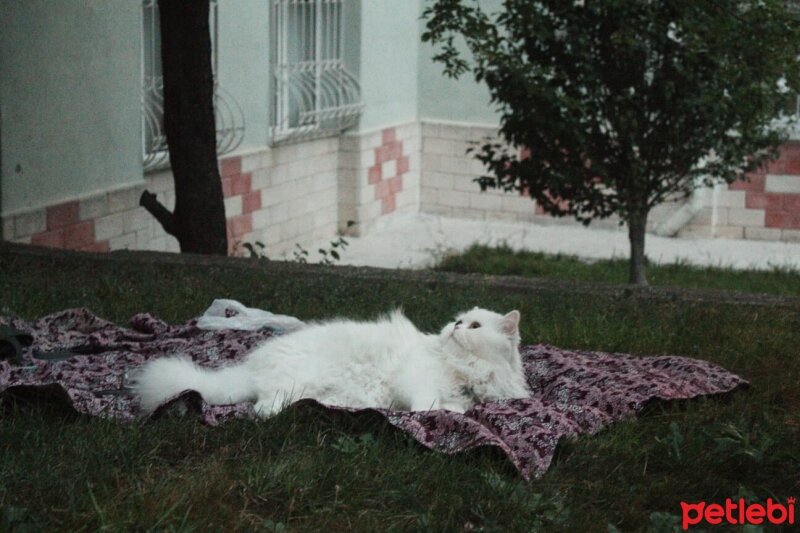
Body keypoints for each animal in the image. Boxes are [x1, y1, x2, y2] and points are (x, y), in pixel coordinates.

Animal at [134, 308, 528, 416]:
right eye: (460, 320)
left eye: (474, 326)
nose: (457, 326)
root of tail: (249, 368)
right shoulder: (418, 380)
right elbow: (428, 404)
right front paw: (437, 412)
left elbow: (456, 408)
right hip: (295, 380)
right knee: (262, 407)